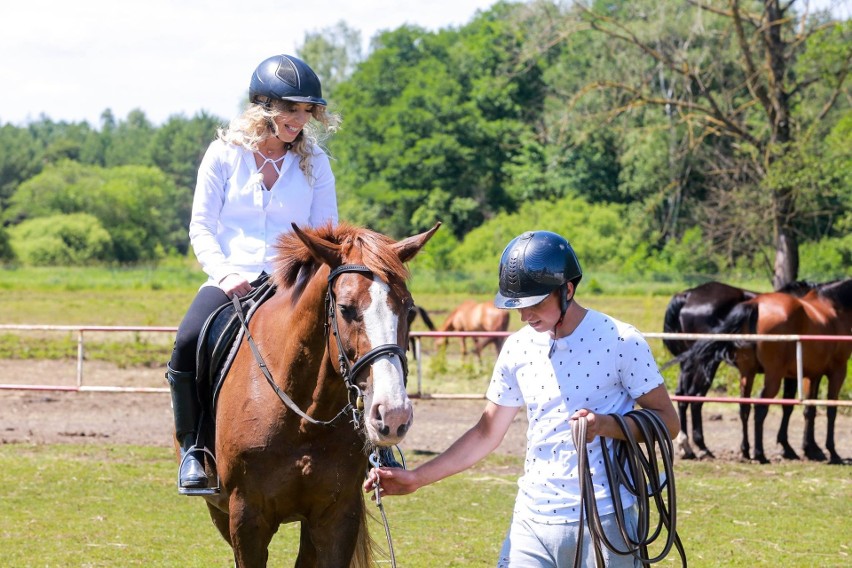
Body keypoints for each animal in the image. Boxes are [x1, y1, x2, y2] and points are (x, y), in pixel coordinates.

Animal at [201, 223, 440, 568]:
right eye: (345, 309)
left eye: (409, 310)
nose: (393, 414)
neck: (303, 419)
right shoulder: (245, 518)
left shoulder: (336, 517)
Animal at [684, 278, 852, 464]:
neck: (833, 306)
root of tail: (755, 305)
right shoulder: (837, 371)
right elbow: (829, 409)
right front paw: (831, 452)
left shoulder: (812, 374)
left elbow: (809, 409)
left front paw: (811, 449)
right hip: (771, 376)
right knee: (757, 406)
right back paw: (759, 454)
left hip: (747, 373)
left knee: (742, 406)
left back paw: (743, 450)